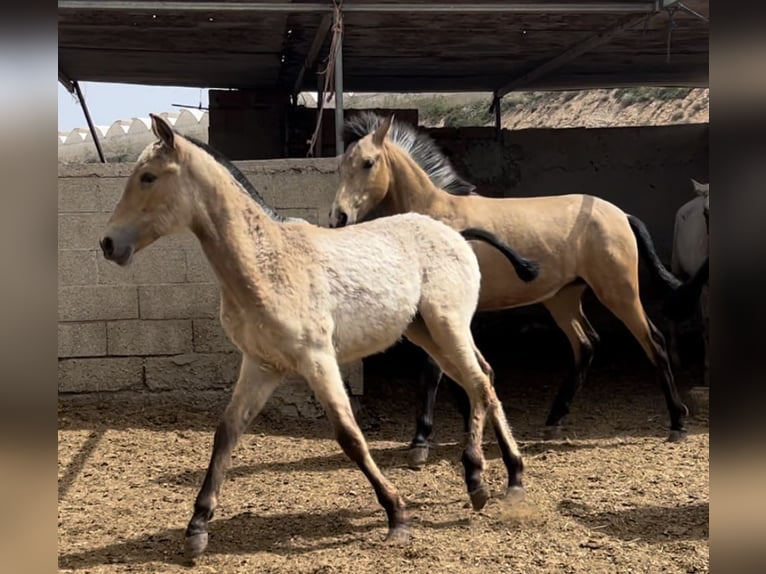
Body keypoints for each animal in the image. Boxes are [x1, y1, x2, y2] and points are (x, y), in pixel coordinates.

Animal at [99, 115, 532, 560]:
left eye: (148, 177)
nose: (109, 243)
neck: (266, 263)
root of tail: (456, 235)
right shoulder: (261, 365)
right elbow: (226, 433)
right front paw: (197, 527)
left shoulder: (318, 359)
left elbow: (349, 435)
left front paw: (396, 515)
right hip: (425, 332)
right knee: (483, 379)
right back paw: (507, 478)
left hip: (447, 325)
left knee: (478, 384)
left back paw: (483, 481)